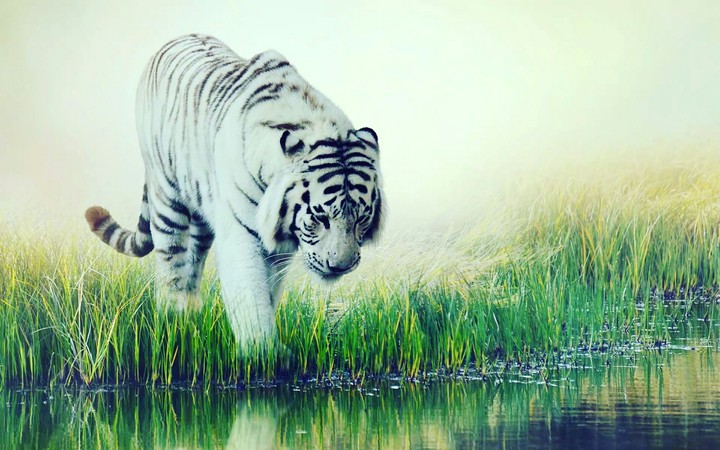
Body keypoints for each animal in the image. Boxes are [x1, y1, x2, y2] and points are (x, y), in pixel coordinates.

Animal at [84, 34, 385, 348]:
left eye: (361, 219)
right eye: (320, 217)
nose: (341, 267)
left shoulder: (278, 249)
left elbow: (268, 292)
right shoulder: (241, 234)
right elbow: (251, 297)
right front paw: (261, 351)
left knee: (193, 261)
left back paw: (192, 314)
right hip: (167, 198)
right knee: (171, 263)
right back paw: (172, 318)